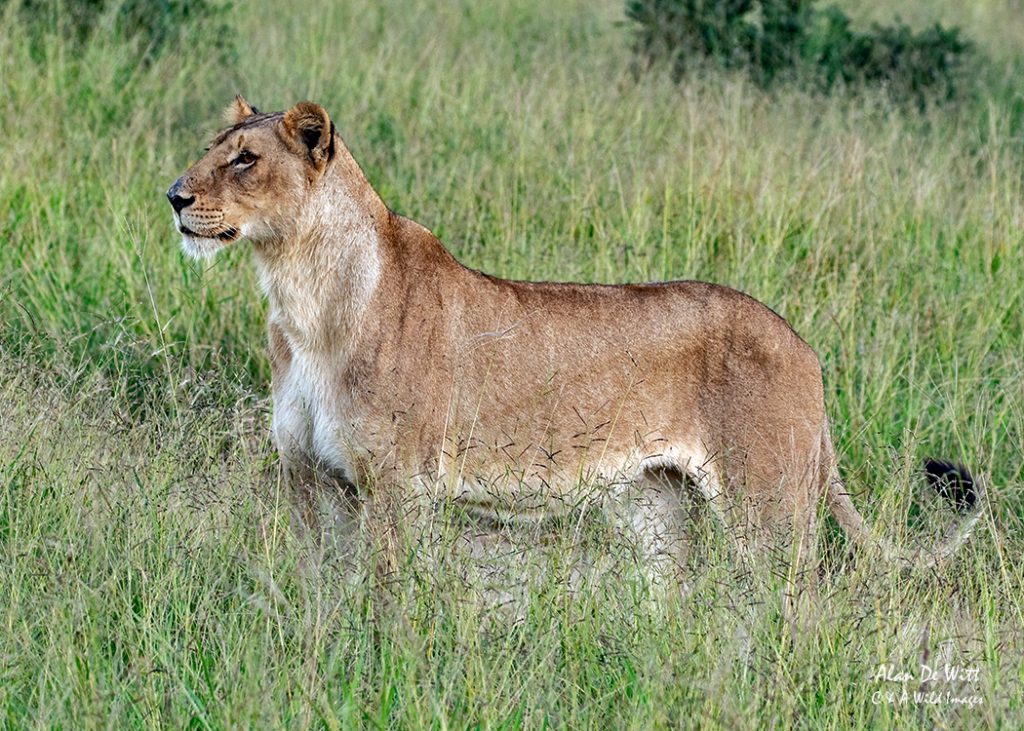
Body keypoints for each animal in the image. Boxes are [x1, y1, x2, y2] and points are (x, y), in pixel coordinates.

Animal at [167, 96, 982, 590]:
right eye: (211, 148)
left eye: (244, 159)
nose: (174, 195)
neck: (300, 297)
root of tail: (804, 346)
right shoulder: (311, 482)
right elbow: (321, 595)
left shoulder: (400, 489)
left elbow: (389, 602)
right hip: (659, 512)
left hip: (769, 512)